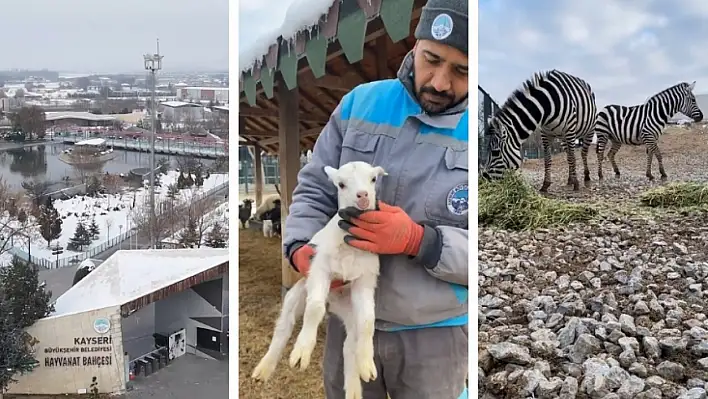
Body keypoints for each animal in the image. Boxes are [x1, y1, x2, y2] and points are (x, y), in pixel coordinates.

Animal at [252, 161, 388, 398]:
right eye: (341, 184)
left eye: (373, 179)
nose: (363, 196)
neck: (348, 244)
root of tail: (332, 305)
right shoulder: (319, 268)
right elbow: (314, 309)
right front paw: (302, 353)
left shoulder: (365, 279)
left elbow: (368, 321)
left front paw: (367, 364)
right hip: (297, 293)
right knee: (284, 326)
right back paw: (264, 369)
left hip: (348, 309)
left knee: (349, 346)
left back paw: (354, 388)